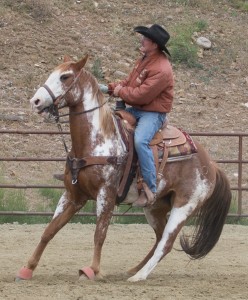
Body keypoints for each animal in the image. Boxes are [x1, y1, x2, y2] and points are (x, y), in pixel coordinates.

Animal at [16, 55, 232, 282]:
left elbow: (100, 234)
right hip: (155, 206)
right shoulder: (72, 195)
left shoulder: (106, 194)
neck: (97, 141)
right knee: (159, 237)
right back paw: (133, 270)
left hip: (184, 206)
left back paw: (139, 277)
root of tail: (211, 165)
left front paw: (92, 270)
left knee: (166, 243)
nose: (35, 101)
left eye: (65, 76)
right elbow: (49, 231)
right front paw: (27, 268)